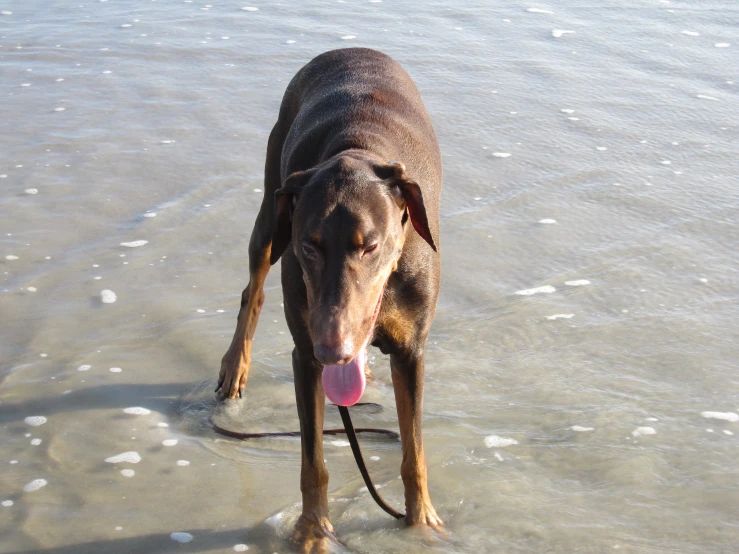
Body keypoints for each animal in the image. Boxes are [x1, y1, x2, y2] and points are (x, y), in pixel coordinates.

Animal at [217, 47, 442, 548]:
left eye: (370, 246)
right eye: (310, 246)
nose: (332, 350)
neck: (360, 150)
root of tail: (352, 50)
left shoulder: (412, 351)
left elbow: (415, 452)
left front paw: (421, 522)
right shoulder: (304, 353)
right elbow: (312, 462)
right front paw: (313, 532)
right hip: (271, 209)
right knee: (252, 290)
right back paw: (235, 365)